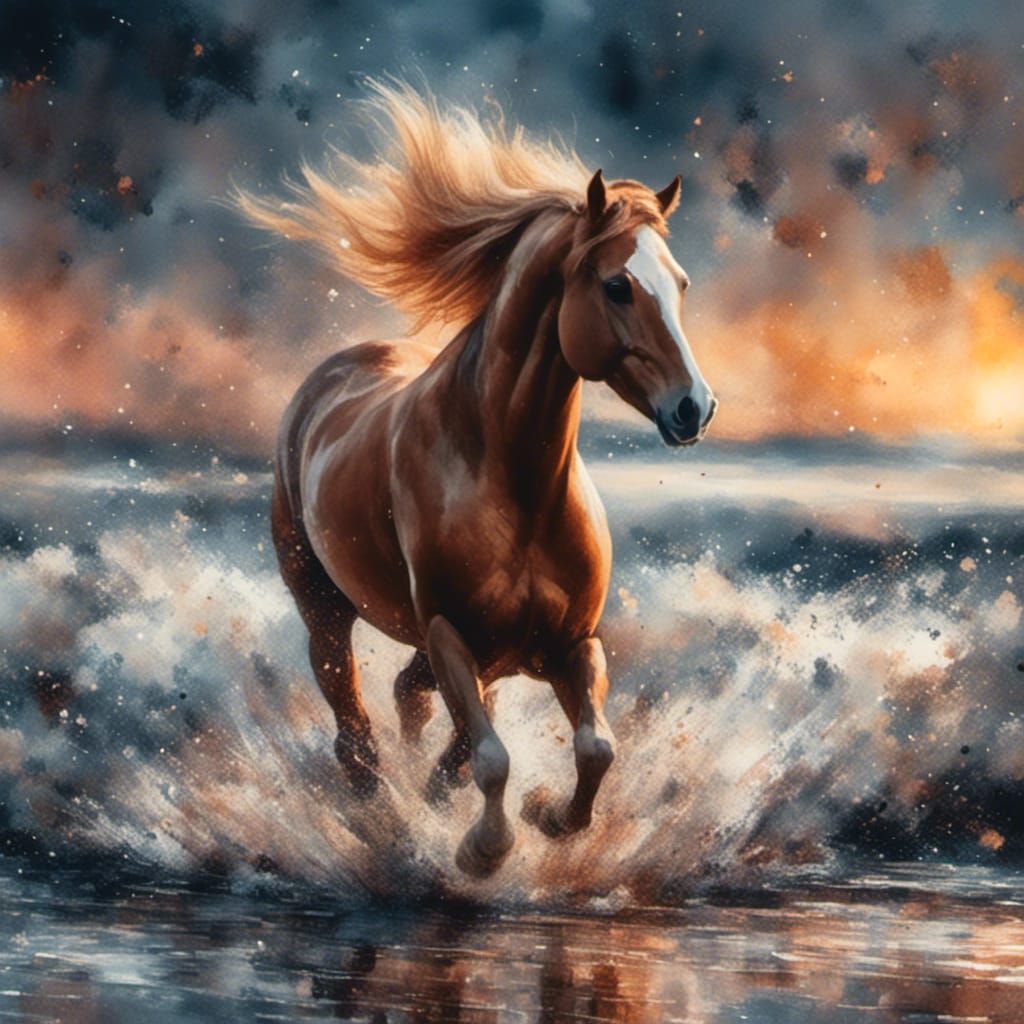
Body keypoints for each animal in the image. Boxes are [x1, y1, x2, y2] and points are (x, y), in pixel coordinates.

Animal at [237, 82, 716, 877]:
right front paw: (480, 849)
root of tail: (332, 375)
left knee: (410, 700)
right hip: (324, 610)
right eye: (617, 285)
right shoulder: (452, 635)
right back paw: (380, 814)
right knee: (355, 732)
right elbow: (489, 756)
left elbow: (593, 747)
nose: (694, 408)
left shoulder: (569, 643)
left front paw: (547, 816)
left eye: (679, 283)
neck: (515, 486)